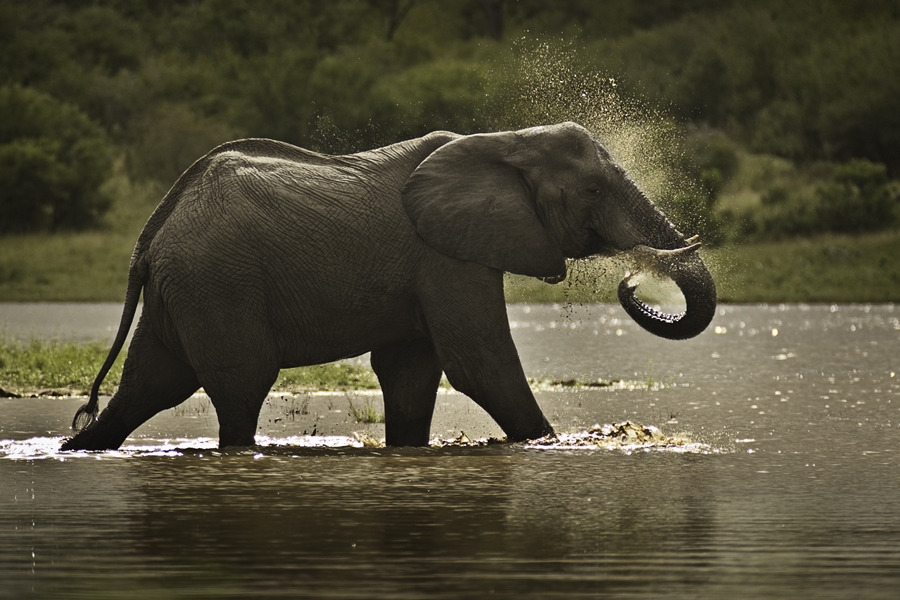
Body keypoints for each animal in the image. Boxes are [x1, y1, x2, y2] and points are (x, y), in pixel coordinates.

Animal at [59, 120, 716, 450]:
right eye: (593, 191)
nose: (632, 281)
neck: (503, 140)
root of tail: (152, 233)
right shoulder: (445, 255)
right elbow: (479, 364)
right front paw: (546, 447)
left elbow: (411, 372)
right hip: (217, 283)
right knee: (239, 389)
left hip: (187, 288)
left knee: (150, 385)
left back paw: (80, 449)